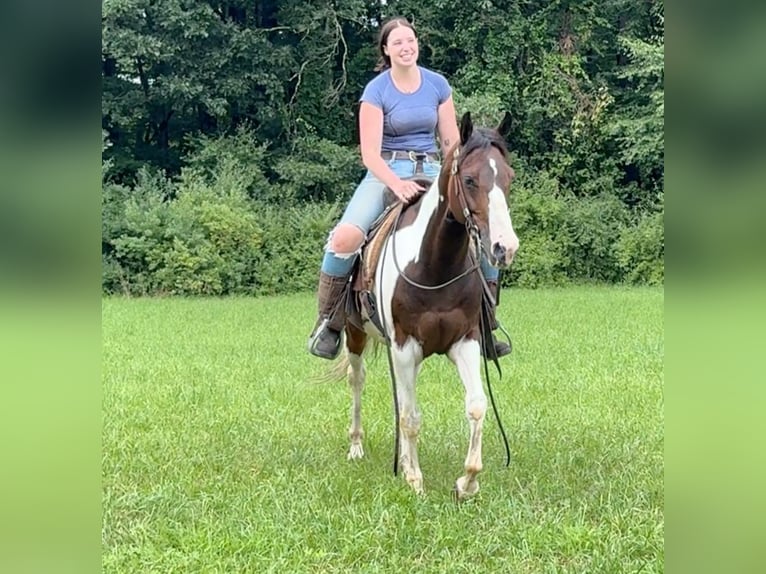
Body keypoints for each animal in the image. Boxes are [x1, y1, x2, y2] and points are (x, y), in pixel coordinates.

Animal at [340, 111, 520, 500]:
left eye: (508, 178)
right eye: (469, 179)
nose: (505, 246)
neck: (434, 265)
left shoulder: (464, 342)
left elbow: (476, 406)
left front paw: (467, 482)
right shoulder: (404, 347)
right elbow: (410, 416)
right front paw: (414, 479)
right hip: (355, 332)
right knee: (357, 381)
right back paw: (356, 447)